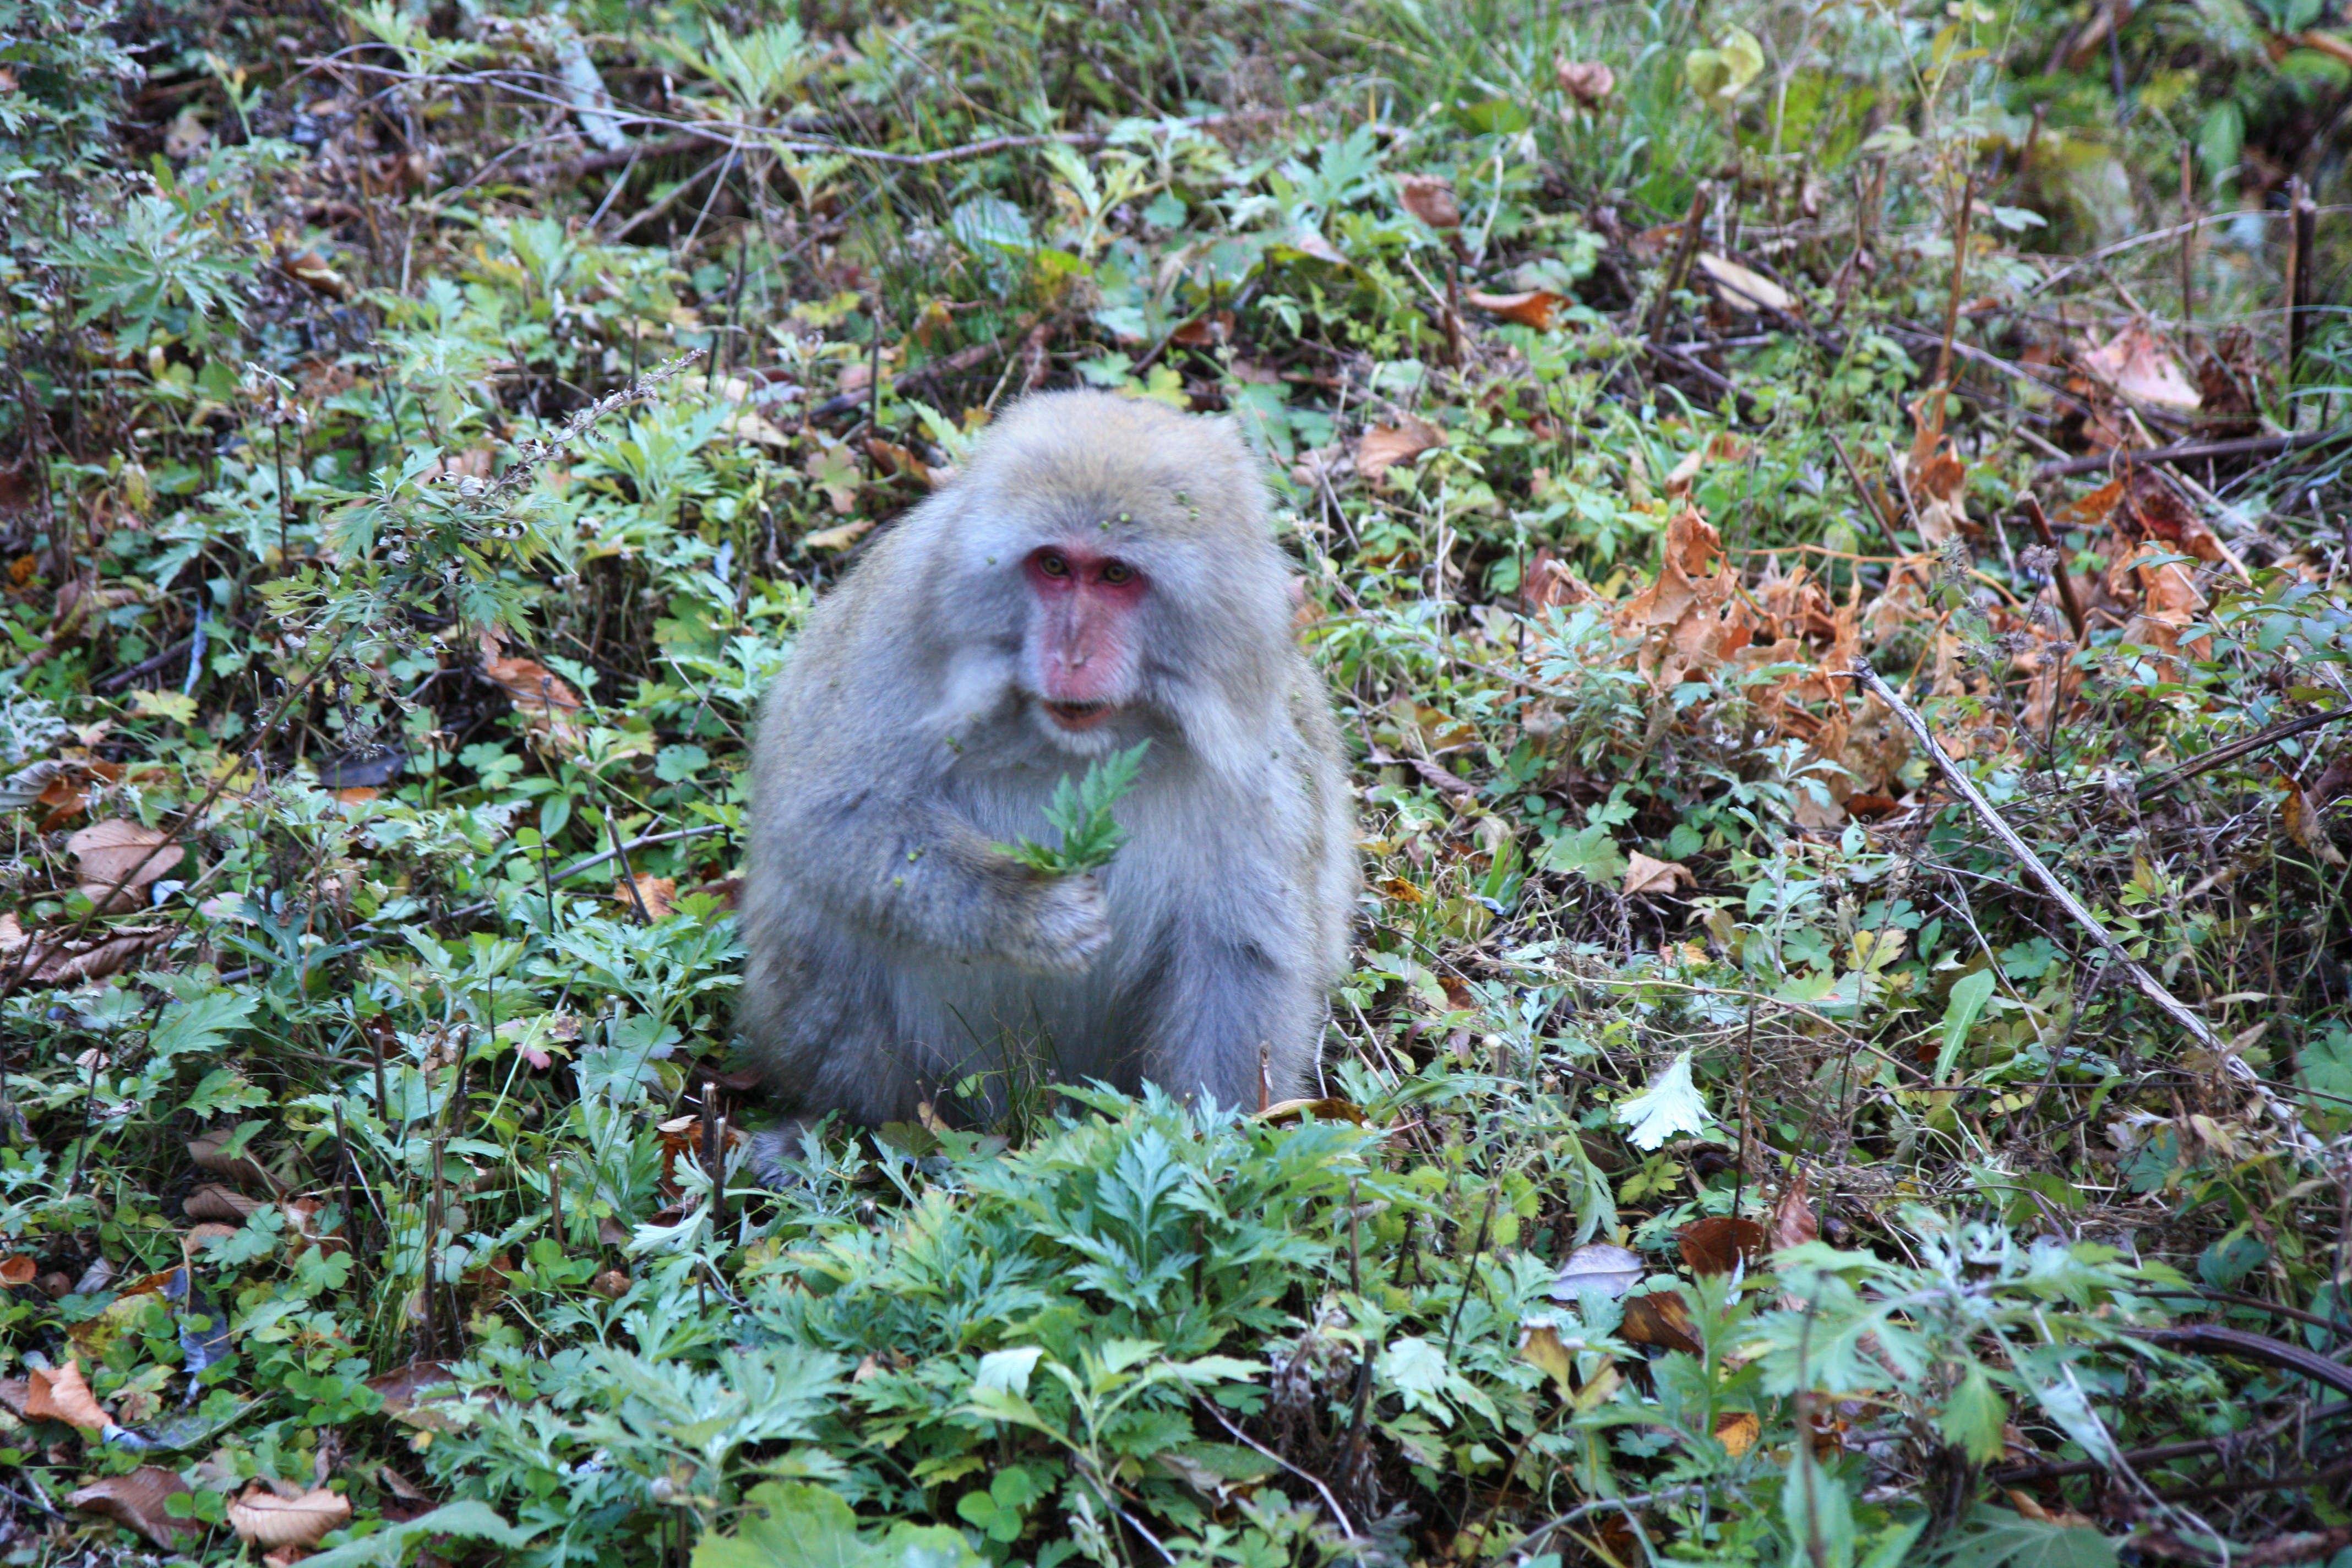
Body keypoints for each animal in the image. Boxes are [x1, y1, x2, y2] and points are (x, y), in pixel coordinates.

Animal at [733, 388, 1364, 1166]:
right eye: (1055, 566)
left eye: (1116, 575)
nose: (1070, 655)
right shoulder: (898, 626)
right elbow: (828, 817)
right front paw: (1031, 910)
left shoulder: (1264, 746)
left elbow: (1242, 948)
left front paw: (1203, 1149)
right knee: (824, 922)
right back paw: (847, 1126)